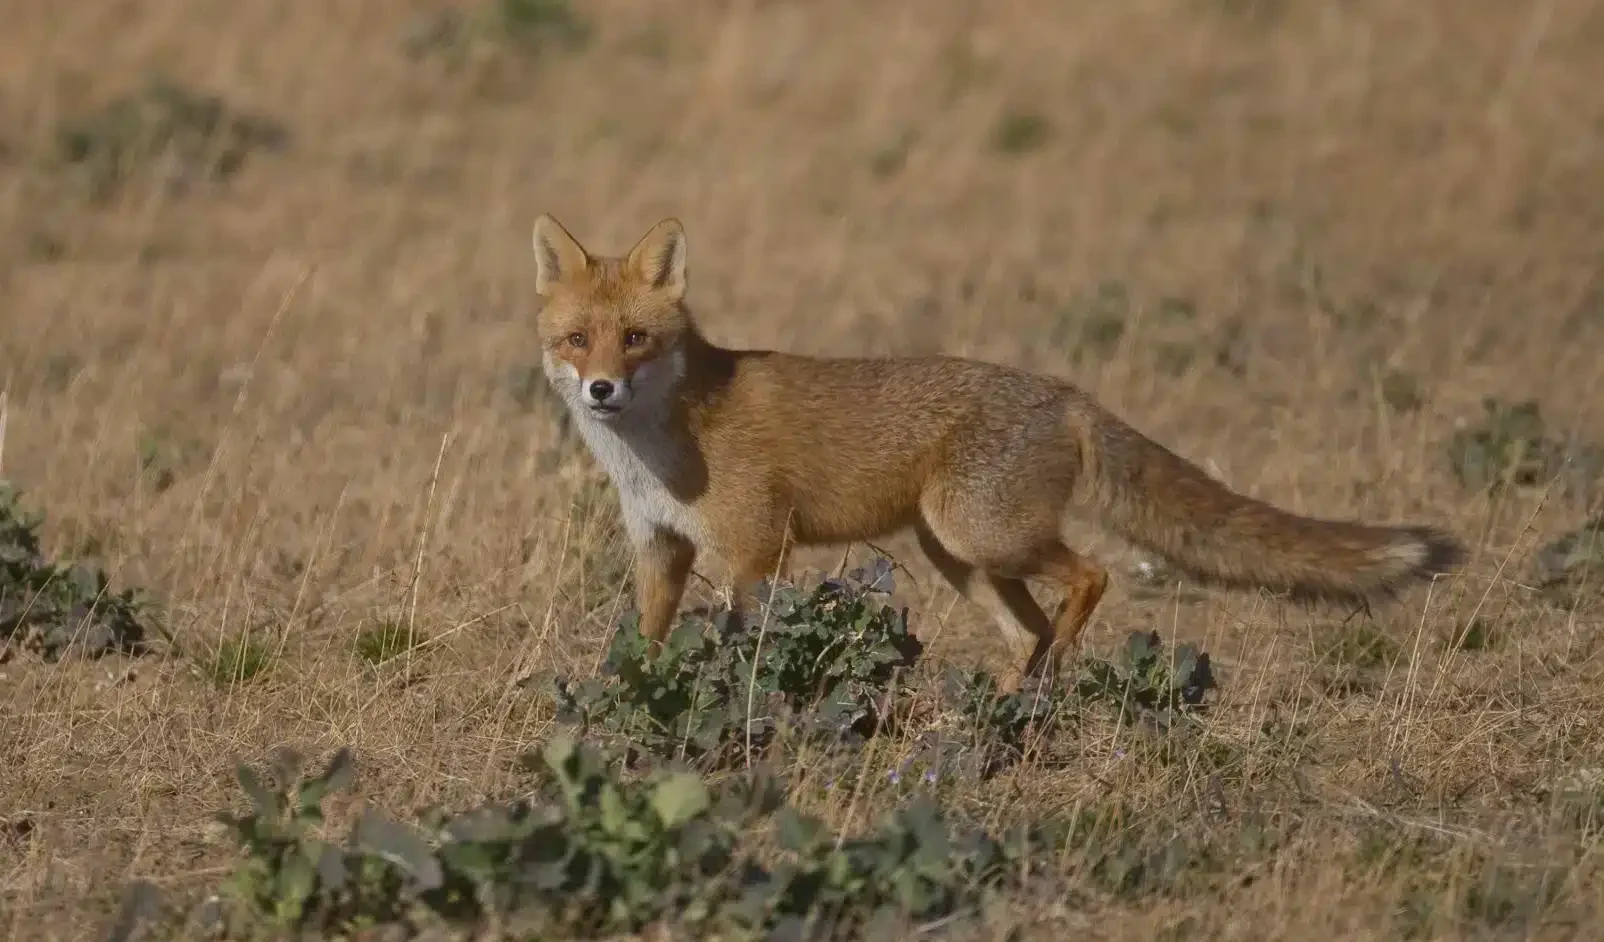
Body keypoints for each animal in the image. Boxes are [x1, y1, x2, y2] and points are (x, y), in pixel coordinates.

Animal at [530, 213, 1467, 691]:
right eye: (578, 340)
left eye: (637, 340)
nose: (600, 390)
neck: (660, 452)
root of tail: (1063, 390)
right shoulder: (661, 549)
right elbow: (646, 642)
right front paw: (629, 702)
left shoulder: (755, 550)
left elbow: (737, 643)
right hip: (961, 557)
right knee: (1031, 628)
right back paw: (1013, 707)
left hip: (981, 537)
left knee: (1094, 577)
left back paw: (1045, 683)